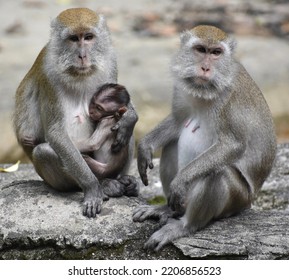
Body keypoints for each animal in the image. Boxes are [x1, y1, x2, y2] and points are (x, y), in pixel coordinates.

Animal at [14, 7, 138, 218]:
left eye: (88, 37)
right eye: (73, 39)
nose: (82, 55)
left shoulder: (110, 60)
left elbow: (123, 105)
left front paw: (129, 118)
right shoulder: (48, 74)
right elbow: (55, 133)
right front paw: (92, 188)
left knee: (127, 133)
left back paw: (124, 180)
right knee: (43, 151)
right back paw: (104, 185)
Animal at [134, 25, 276, 250]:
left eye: (216, 52)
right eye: (200, 50)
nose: (205, 68)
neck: (204, 92)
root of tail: (249, 202)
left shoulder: (229, 101)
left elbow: (231, 146)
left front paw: (180, 181)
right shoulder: (181, 88)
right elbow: (177, 122)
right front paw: (145, 146)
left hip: (237, 200)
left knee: (215, 172)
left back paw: (185, 226)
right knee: (171, 145)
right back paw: (167, 210)